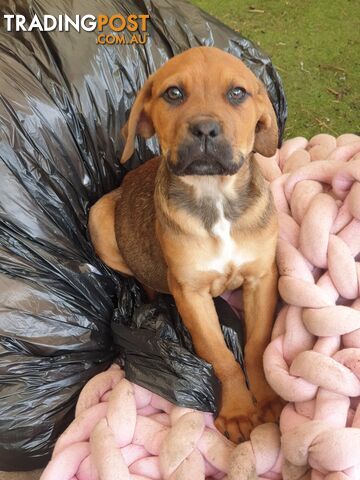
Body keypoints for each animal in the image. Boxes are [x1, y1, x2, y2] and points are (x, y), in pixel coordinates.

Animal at [88, 47, 282, 444]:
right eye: (174, 93)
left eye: (237, 93)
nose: (205, 129)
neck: (215, 197)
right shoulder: (191, 293)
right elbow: (220, 355)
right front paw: (238, 410)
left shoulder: (262, 278)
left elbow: (257, 343)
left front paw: (268, 397)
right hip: (99, 219)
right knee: (144, 280)